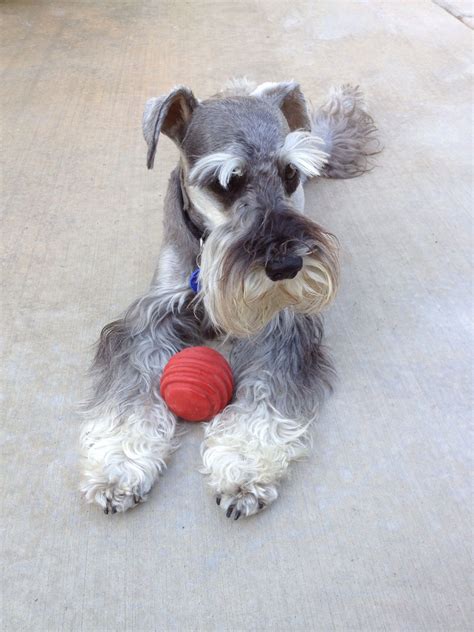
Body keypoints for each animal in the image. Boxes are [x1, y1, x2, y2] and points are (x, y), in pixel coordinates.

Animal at [80, 79, 378, 520]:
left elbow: (264, 390)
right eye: (224, 183)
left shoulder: (280, 324)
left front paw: (244, 463)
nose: (287, 264)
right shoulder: (150, 317)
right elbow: (132, 387)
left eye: (291, 174)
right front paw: (120, 462)